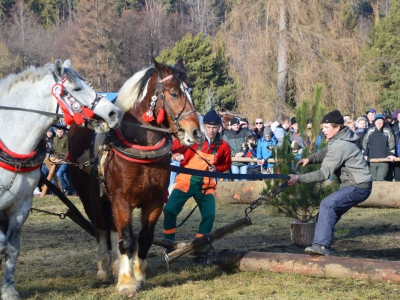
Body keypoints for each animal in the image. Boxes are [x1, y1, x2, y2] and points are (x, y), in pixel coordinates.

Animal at [68, 58, 203, 296]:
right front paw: (127, 282)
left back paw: (114, 266)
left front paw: (138, 276)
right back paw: (104, 268)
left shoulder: (155, 201)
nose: (196, 132)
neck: (142, 148)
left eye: (191, 92)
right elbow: (128, 240)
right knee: (101, 227)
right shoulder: (122, 200)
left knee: (113, 228)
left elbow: (144, 238)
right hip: (90, 196)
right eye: (174, 93)